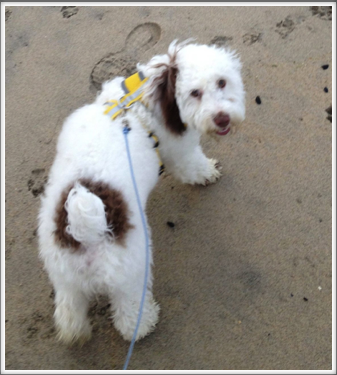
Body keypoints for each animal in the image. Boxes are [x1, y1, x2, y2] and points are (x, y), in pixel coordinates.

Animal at [38, 40, 245, 344]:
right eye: (194, 93)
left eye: (222, 82)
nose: (222, 118)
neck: (141, 105)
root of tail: (84, 229)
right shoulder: (180, 154)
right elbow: (194, 167)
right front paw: (208, 172)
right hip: (130, 271)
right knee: (128, 309)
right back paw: (144, 323)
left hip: (65, 276)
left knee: (69, 310)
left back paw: (75, 334)